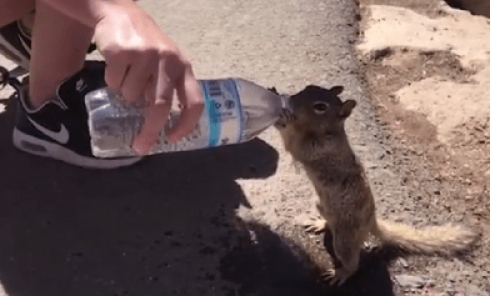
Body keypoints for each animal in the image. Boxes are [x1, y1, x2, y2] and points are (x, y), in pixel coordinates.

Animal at [274, 85, 480, 286]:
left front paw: (282, 119)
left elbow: (294, 145)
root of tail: (371, 221)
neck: (328, 130)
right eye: (308, 87)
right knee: (329, 223)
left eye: (320, 107)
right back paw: (320, 223)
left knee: (352, 261)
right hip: (321, 205)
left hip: (344, 239)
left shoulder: (318, 148)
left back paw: (341, 273)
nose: (291, 100)